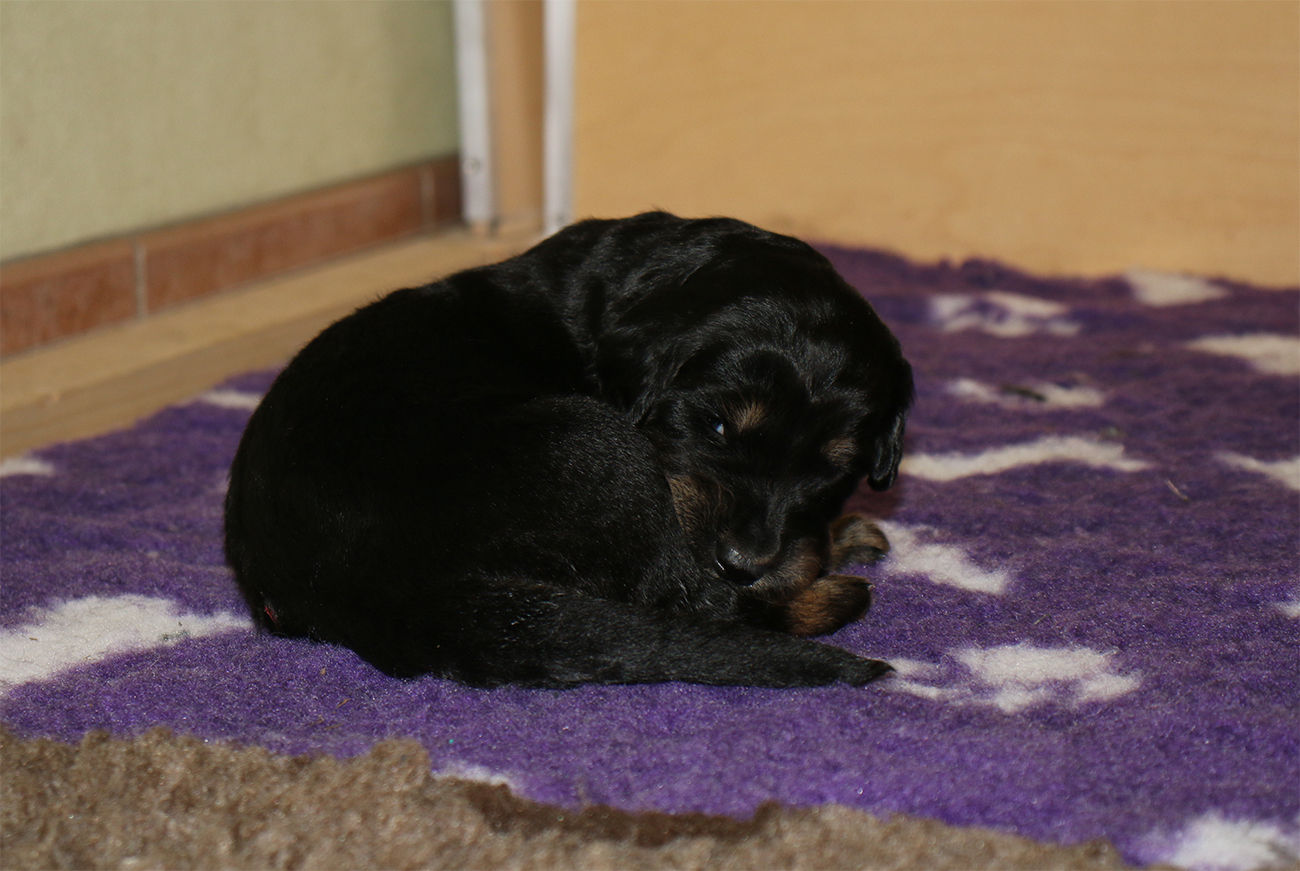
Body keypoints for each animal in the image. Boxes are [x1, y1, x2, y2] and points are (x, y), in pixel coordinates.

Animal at [224, 212, 913, 688]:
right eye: (715, 427)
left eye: (832, 472)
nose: (746, 561)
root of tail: (378, 590)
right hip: (605, 452)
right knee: (688, 596)